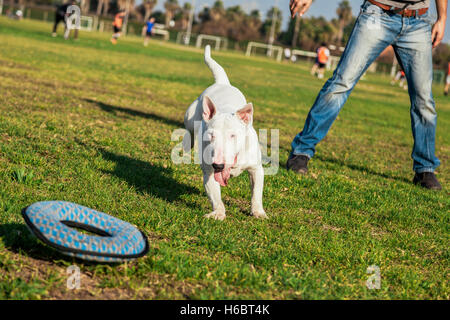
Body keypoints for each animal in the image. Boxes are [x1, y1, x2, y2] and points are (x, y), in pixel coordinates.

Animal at [183, 44, 268, 220]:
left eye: (233, 135)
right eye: (211, 135)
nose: (218, 164)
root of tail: (222, 83)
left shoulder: (256, 169)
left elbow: (256, 193)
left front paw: (258, 212)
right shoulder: (209, 171)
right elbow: (215, 194)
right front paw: (218, 213)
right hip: (191, 115)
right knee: (189, 129)